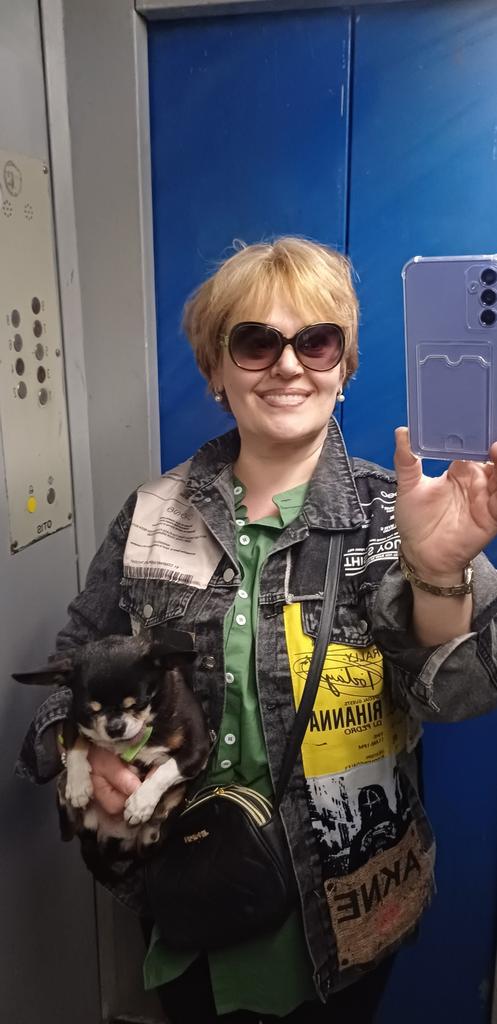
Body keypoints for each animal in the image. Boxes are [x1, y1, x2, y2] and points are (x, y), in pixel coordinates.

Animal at [14, 630, 211, 853]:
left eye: (138, 703)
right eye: (92, 710)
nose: (115, 727)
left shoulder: (198, 748)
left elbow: (168, 768)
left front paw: (141, 801)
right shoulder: (73, 717)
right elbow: (75, 746)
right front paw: (78, 784)